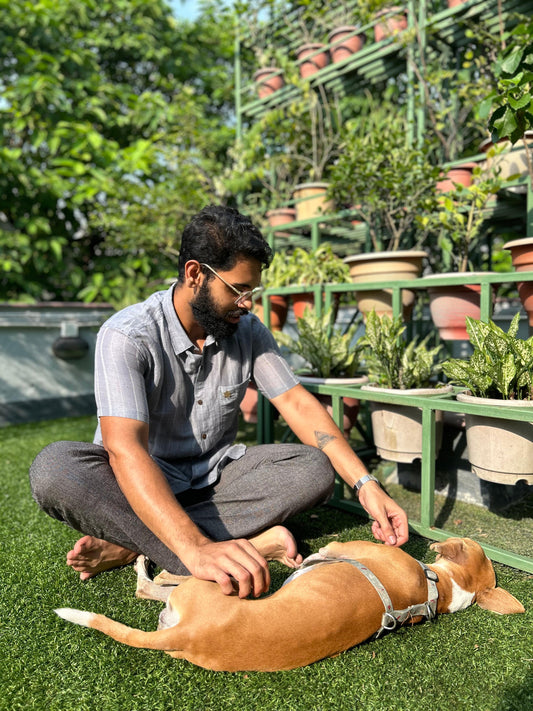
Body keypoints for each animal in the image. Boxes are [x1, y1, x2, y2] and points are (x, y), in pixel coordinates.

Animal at [56, 540, 520, 672]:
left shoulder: (335, 547)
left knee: (152, 586)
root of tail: (191, 633)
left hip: (206, 585)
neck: (435, 589)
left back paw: (145, 564)